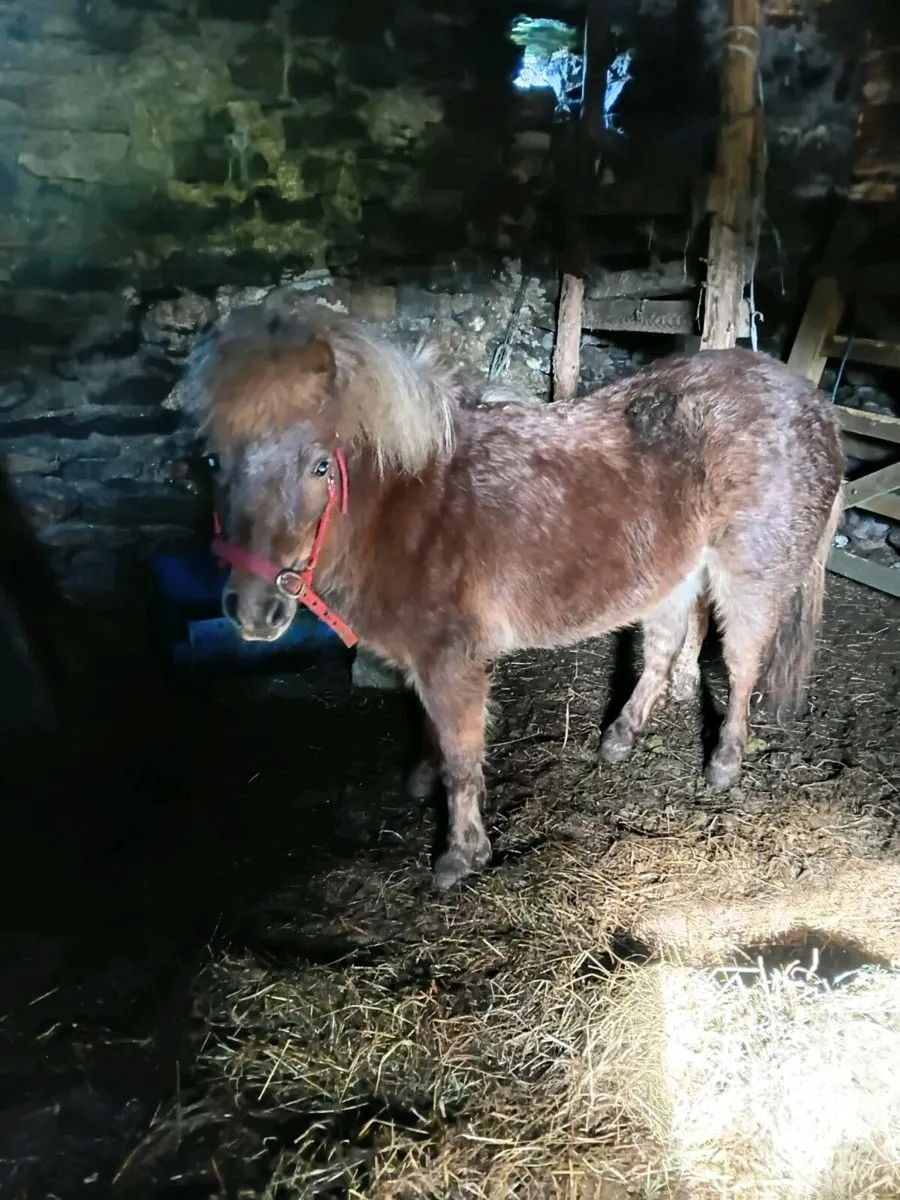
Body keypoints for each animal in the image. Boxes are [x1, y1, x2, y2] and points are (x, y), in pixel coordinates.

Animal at [183, 294, 844, 891]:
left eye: (321, 466)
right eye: (211, 461)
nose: (253, 611)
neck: (410, 509)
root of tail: (816, 407)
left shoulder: (451, 661)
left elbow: (461, 757)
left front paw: (461, 856)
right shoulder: (425, 661)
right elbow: (433, 733)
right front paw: (421, 782)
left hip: (747, 580)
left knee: (740, 666)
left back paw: (724, 764)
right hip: (673, 577)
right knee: (662, 652)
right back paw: (619, 740)